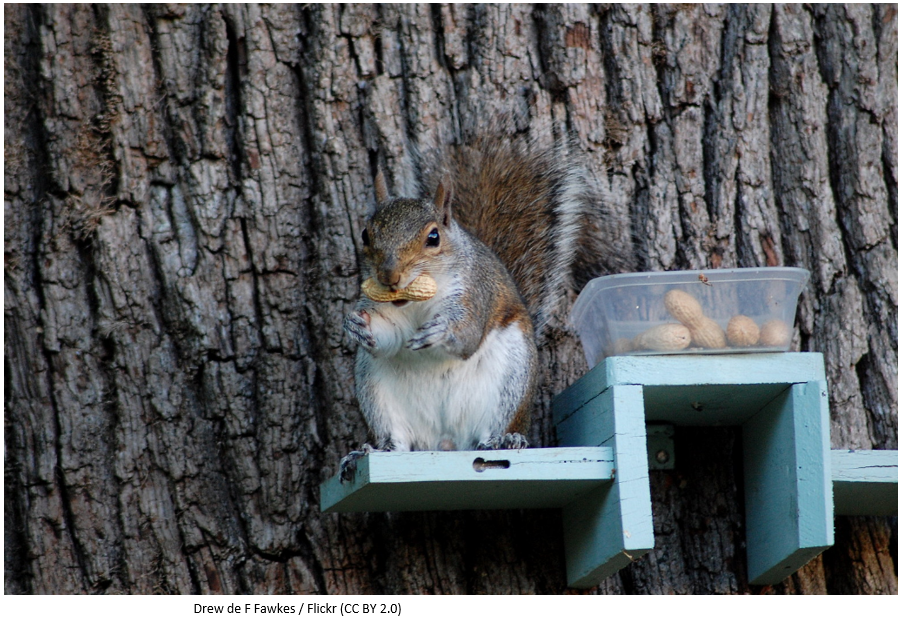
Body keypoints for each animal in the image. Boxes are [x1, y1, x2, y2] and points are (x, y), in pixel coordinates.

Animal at [340, 134, 627, 481]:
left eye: (433, 237)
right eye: (365, 235)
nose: (389, 277)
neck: (416, 300)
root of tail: (446, 444)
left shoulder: (476, 295)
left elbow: (468, 337)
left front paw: (441, 330)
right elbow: (387, 339)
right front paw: (358, 325)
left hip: (511, 382)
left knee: (491, 431)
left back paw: (505, 440)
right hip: (376, 393)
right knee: (396, 439)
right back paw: (371, 451)